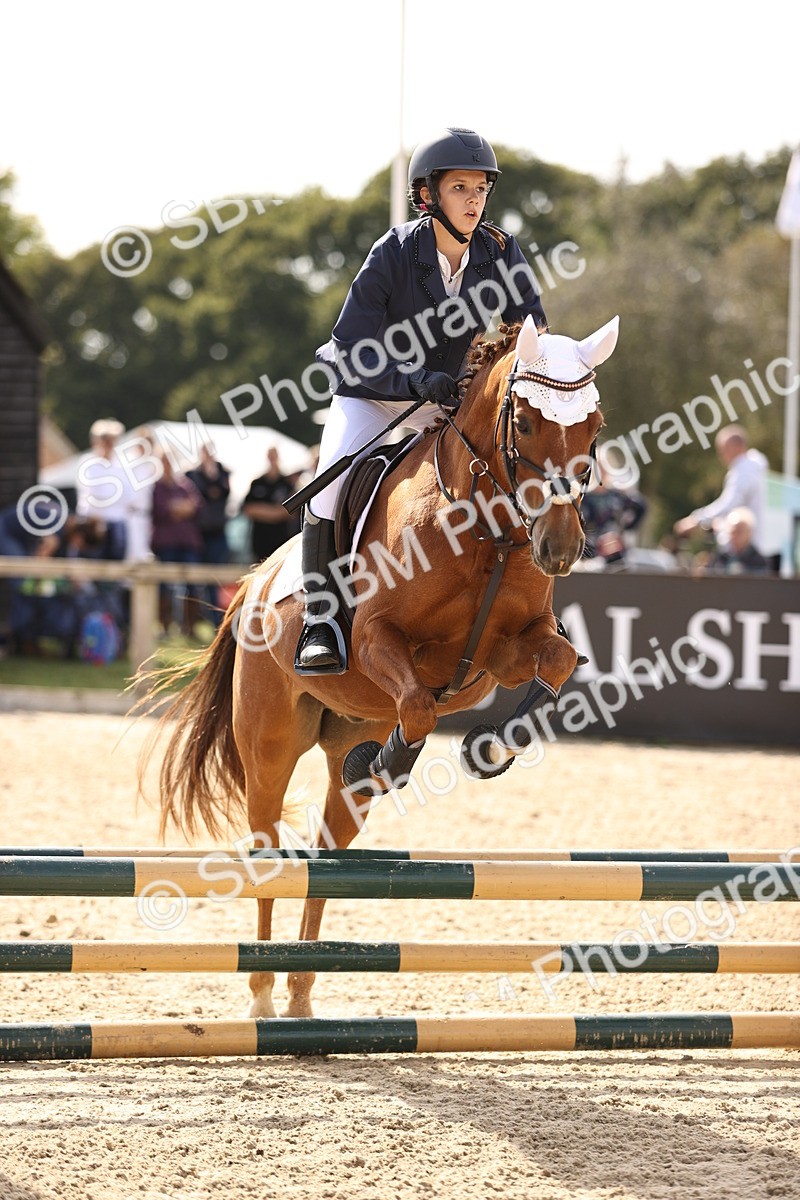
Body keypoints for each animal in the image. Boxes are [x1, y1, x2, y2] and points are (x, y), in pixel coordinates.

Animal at [145, 312, 619, 1018]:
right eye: (526, 423)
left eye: (595, 426)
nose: (560, 549)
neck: (484, 527)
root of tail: (251, 584)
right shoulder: (378, 641)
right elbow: (418, 704)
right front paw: (395, 760)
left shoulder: (504, 653)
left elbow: (557, 660)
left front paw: (490, 749)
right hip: (270, 742)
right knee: (267, 850)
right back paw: (261, 996)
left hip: (349, 733)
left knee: (324, 852)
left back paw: (301, 997)